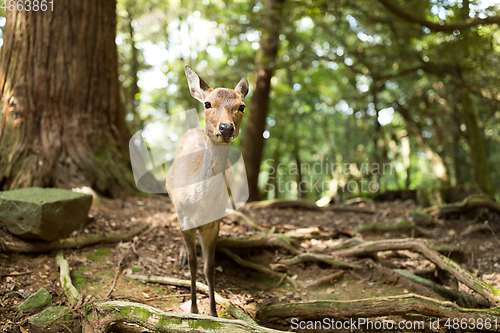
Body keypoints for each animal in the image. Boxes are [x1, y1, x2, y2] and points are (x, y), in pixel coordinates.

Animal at [166, 65, 248, 316]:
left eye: (241, 106)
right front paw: (193, 309)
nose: (226, 127)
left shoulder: (214, 223)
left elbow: (209, 267)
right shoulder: (184, 215)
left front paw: (213, 312)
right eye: (207, 103)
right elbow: (194, 264)